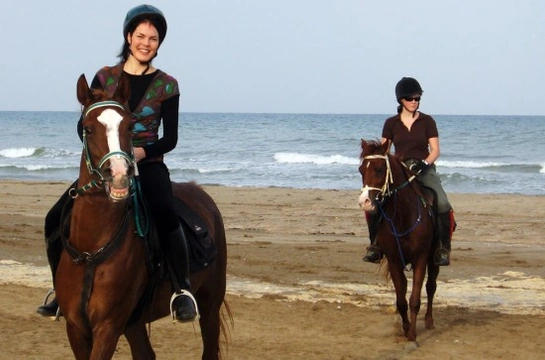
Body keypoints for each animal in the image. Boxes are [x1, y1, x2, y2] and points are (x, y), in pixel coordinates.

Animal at [56, 74, 231, 360]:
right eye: (88, 128)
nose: (119, 174)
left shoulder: (108, 327)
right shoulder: (76, 329)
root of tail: (199, 191)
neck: (92, 249)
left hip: (210, 304)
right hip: (135, 323)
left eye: (129, 127)